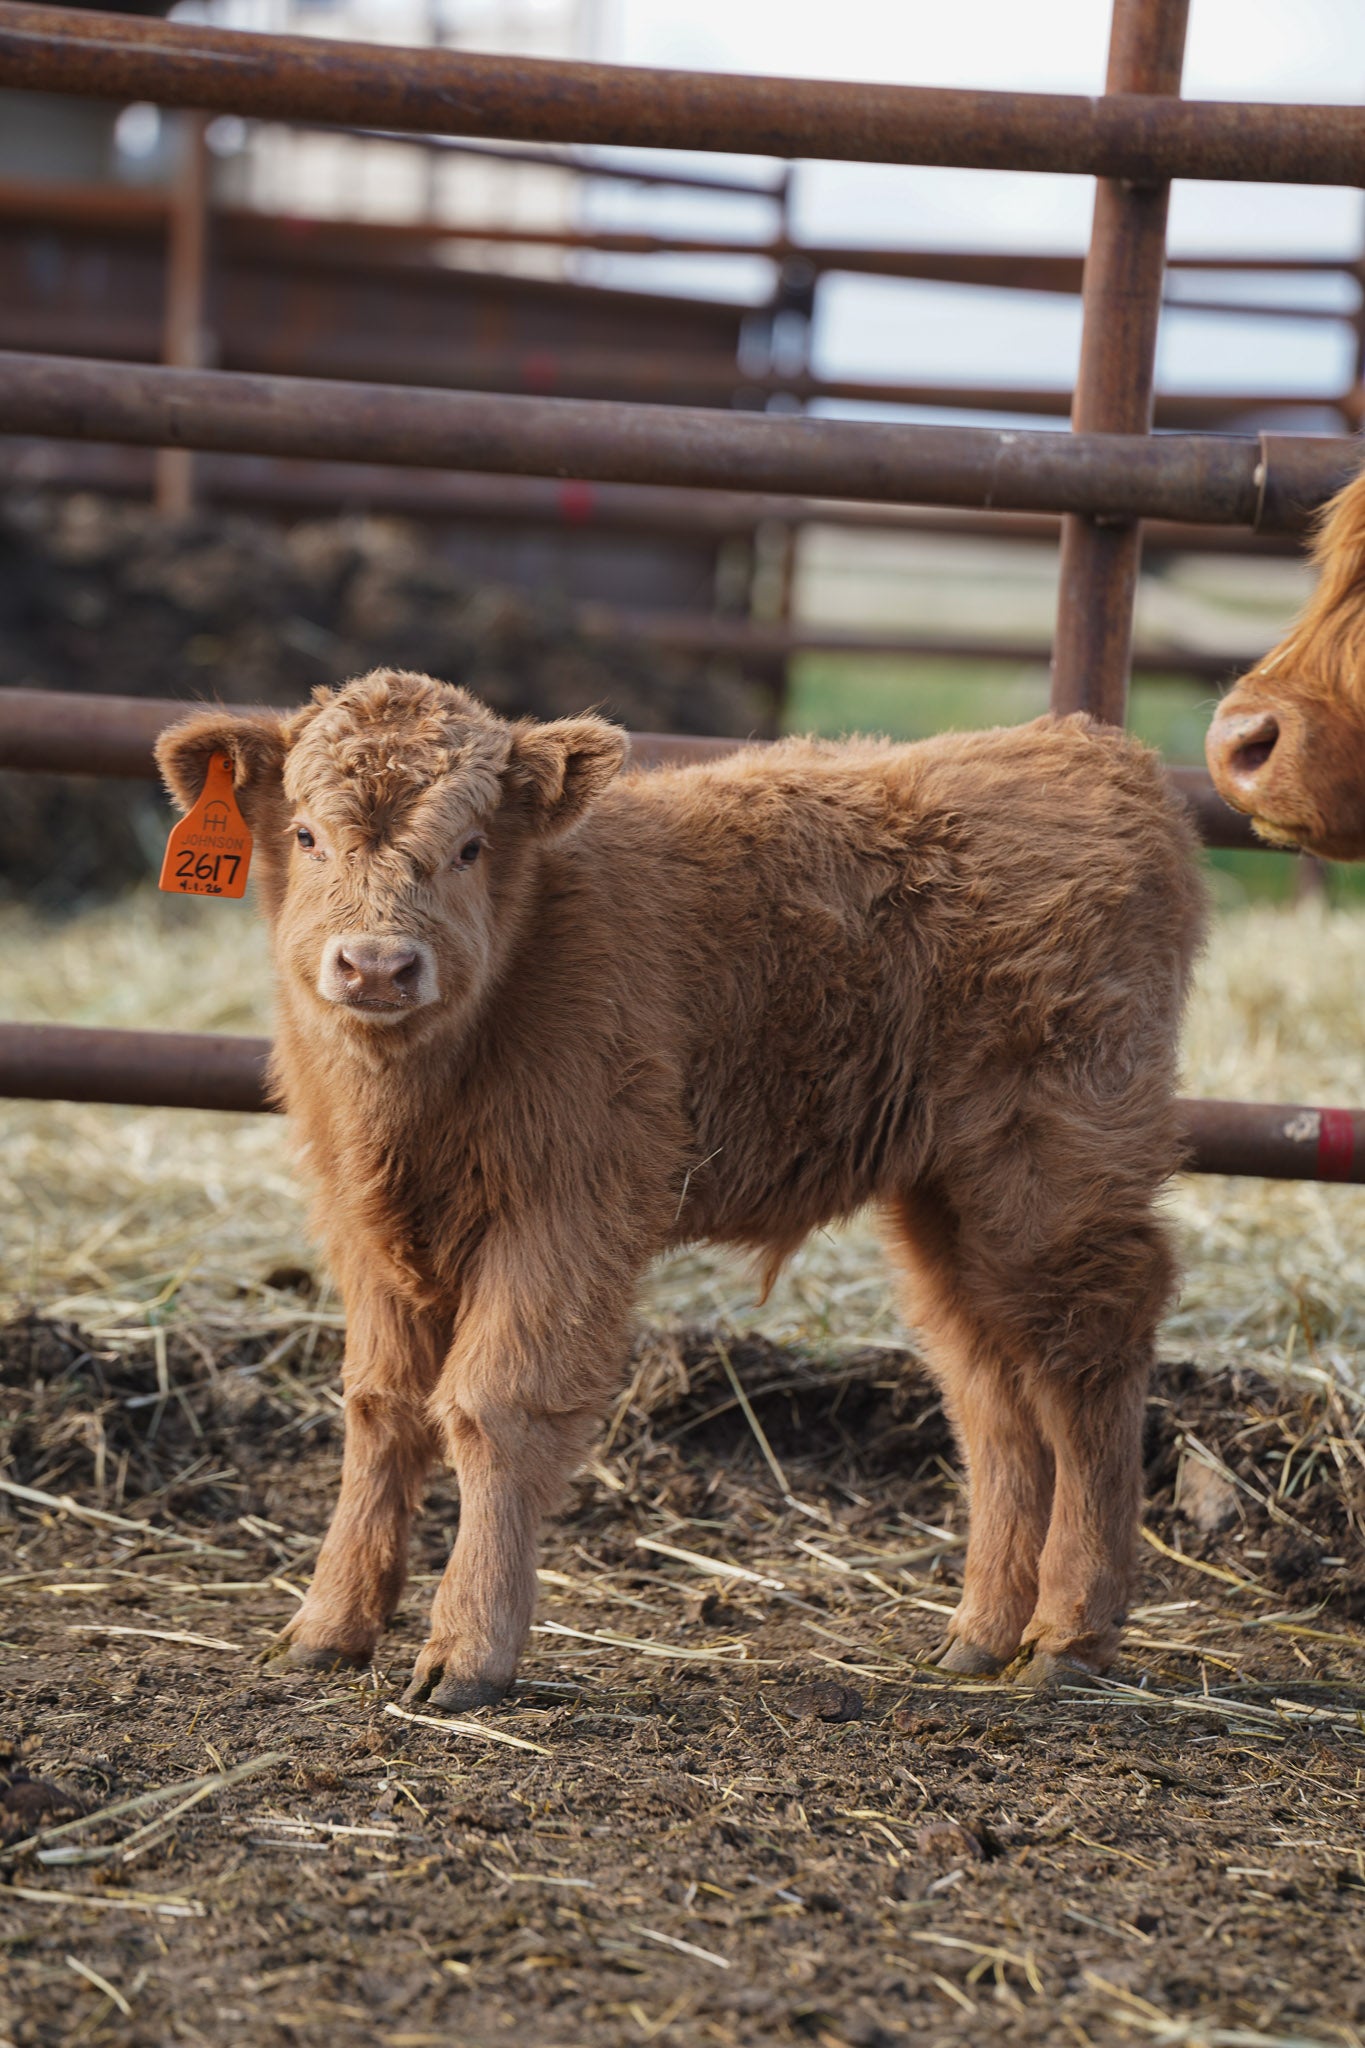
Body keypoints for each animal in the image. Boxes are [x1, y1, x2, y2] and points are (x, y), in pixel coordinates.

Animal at [157, 671, 1205, 1710]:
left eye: (468, 846)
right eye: (304, 834)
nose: (375, 964)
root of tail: (1085, 748)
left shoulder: (564, 1216)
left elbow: (495, 1408)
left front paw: (468, 1653)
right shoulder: (364, 1226)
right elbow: (380, 1409)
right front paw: (326, 1629)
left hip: (1056, 1176)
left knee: (1087, 1365)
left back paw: (1068, 1634)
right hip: (946, 1202)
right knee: (989, 1388)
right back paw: (980, 1638)